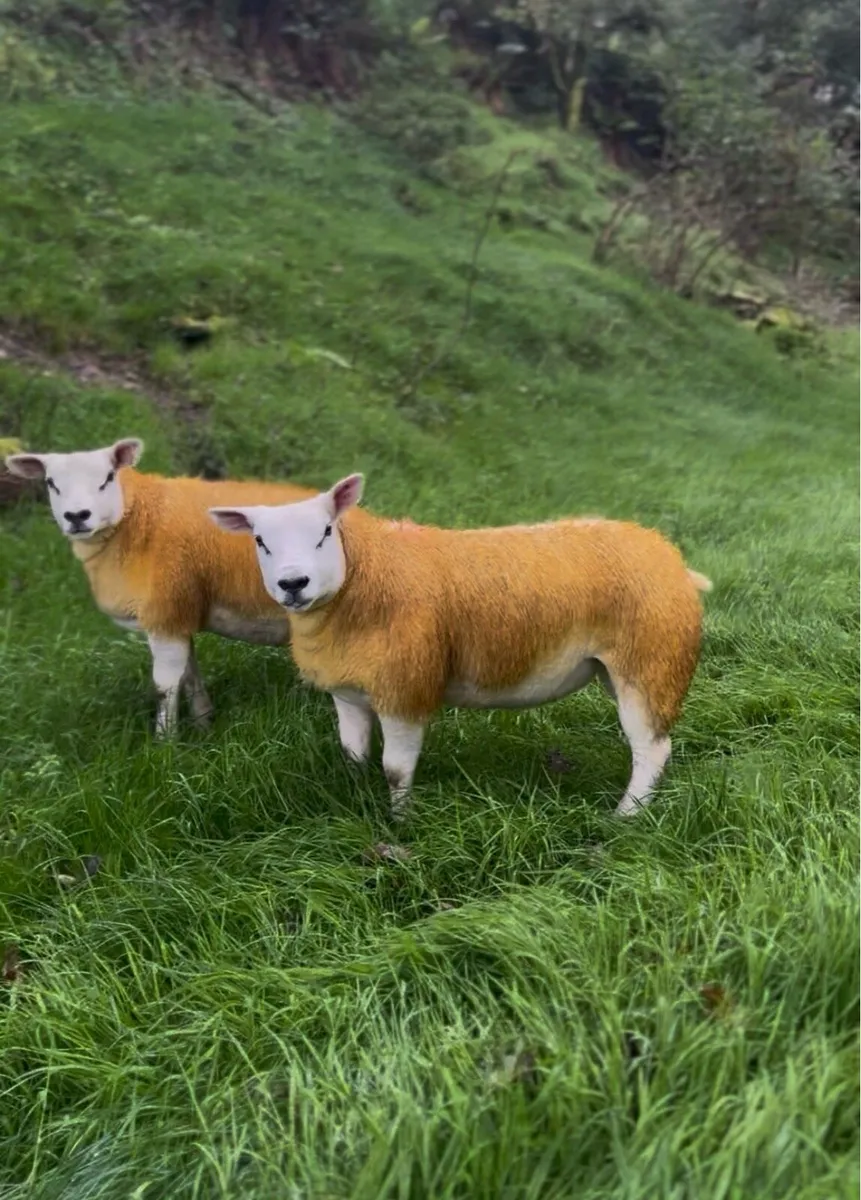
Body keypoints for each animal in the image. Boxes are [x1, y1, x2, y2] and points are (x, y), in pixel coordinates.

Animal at [5, 438, 316, 736]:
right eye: (51, 482)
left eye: (108, 477)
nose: (77, 516)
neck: (137, 520)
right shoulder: (178, 613)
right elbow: (189, 676)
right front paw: (203, 725)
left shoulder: (163, 611)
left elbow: (165, 686)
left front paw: (165, 742)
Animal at [209, 474, 712, 819]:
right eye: (259, 541)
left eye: (326, 532)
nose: (293, 584)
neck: (363, 578)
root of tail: (671, 557)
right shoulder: (349, 694)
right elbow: (353, 754)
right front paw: (354, 796)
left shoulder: (406, 687)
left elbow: (395, 768)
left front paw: (400, 822)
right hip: (624, 666)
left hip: (651, 662)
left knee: (651, 749)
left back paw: (626, 817)